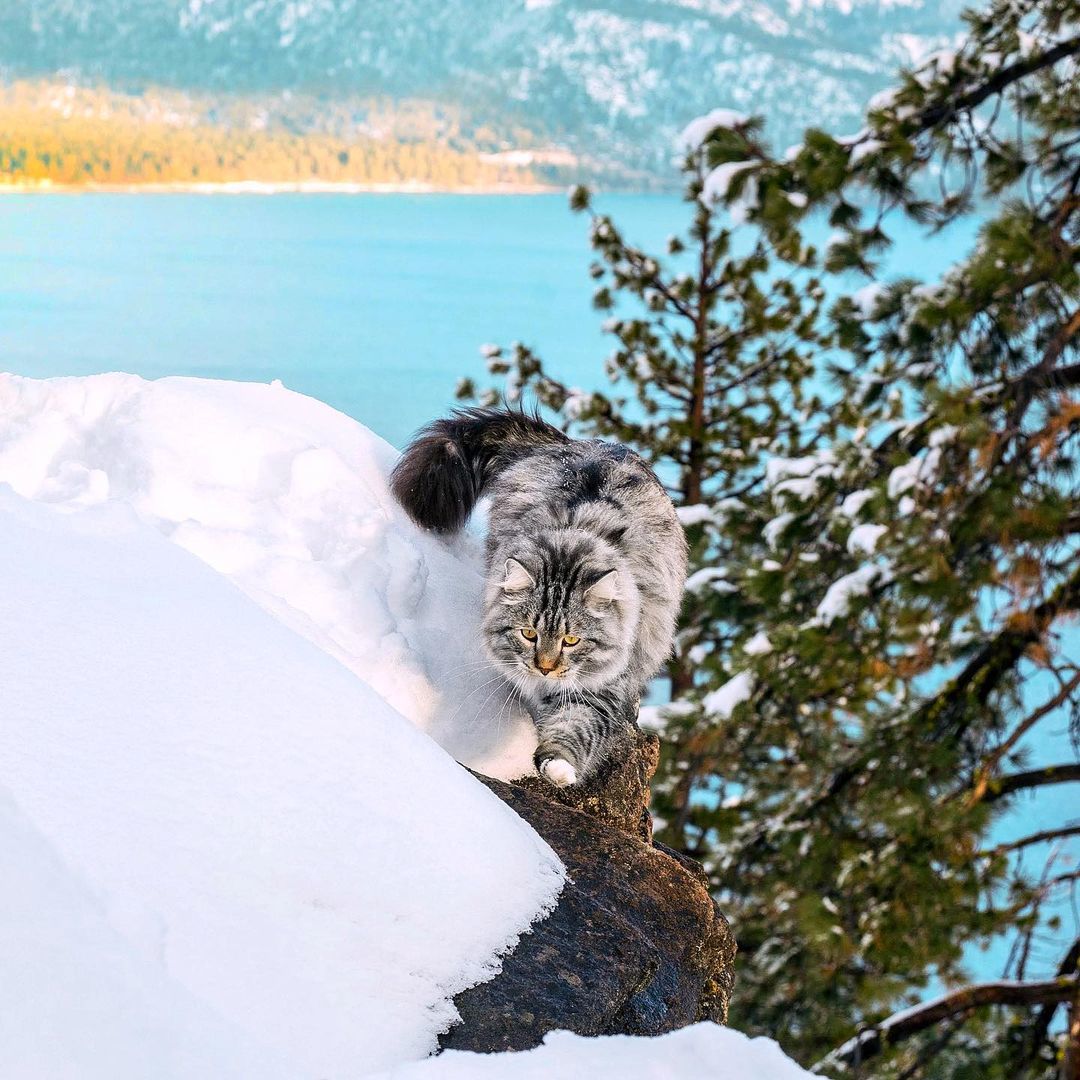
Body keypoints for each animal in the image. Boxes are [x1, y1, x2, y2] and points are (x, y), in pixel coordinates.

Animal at [393, 406, 686, 786]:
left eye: (572, 640)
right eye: (528, 634)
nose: (545, 667)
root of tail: (578, 443)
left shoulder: (603, 689)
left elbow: (575, 726)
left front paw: (558, 766)